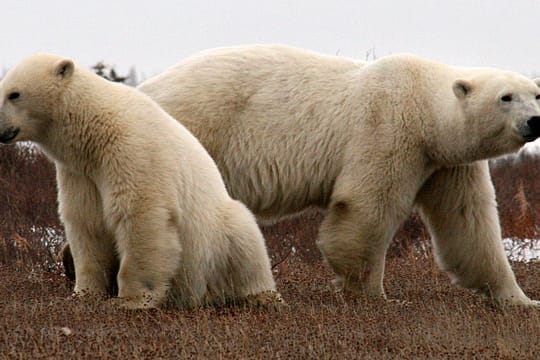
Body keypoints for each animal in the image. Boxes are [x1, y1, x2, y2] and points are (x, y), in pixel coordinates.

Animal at [0, 53, 278, 310]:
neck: (94, 131)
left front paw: (130, 300)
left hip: (218, 235)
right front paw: (84, 294)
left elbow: (141, 217)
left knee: (244, 241)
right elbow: (87, 223)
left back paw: (259, 296)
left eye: (14, 94)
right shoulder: (80, 174)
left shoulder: (132, 152)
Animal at [137, 43, 540, 306]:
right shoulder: (387, 129)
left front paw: (519, 300)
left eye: (535, 94)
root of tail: (144, 89)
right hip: (195, 133)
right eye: (506, 97)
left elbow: (469, 223)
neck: (423, 107)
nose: (535, 121)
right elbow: (366, 209)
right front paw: (373, 296)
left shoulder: (447, 163)